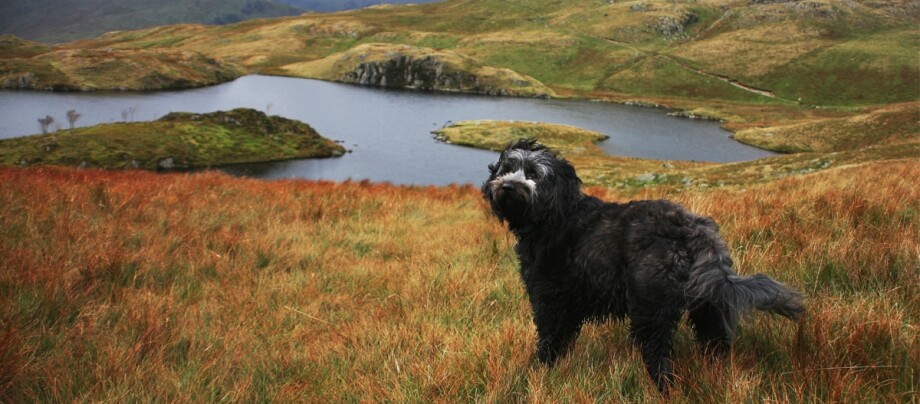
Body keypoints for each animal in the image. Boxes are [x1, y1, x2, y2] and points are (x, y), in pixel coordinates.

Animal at [486, 138, 800, 388]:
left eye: (534, 174)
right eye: (506, 168)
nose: (508, 186)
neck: (555, 214)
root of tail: (689, 228)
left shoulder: (550, 300)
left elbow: (549, 341)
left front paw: (539, 371)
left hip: (650, 309)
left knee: (658, 356)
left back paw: (661, 387)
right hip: (708, 305)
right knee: (715, 344)